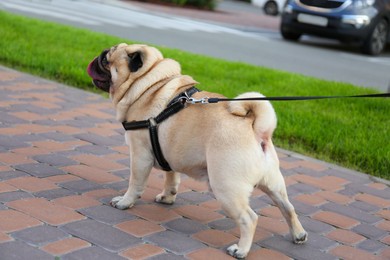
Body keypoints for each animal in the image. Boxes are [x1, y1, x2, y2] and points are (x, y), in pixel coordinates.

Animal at [86, 43, 308, 258]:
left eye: (106, 60)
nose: (98, 56)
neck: (148, 85)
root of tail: (256, 129)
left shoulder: (140, 155)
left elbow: (135, 184)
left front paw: (125, 202)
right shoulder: (168, 152)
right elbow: (171, 178)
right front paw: (167, 197)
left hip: (226, 187)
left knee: (249, 218)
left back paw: (241, 250)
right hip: (273, 183)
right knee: (288, 207)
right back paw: (299, 235)